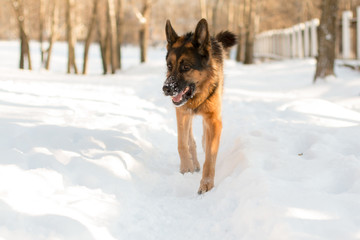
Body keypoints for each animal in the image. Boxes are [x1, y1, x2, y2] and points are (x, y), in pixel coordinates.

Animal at [162, 19, 236, 195]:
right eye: (169, 66)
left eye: (186, 67)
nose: (166, 88)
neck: (198, 94)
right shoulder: (182, 113)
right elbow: (182, 143)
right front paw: (186, 168)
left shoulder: (214, 120)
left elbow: (210, 155)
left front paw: (206, 184)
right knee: (190, 139)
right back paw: (193, 162)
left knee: (202, 137)